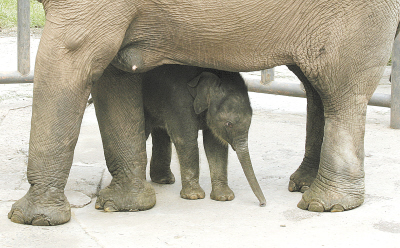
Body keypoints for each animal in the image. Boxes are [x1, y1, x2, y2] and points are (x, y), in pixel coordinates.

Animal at [143, 64, 266, 205]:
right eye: (228, 124)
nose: (262, 203)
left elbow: (215, 144)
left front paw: (224, 197)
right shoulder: (178, 100)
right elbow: (185, 139)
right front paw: (194, 196)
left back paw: (164, 180)